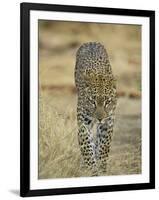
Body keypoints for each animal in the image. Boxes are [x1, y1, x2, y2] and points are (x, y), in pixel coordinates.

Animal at [74, 41, 117, 175]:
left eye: (107, 102)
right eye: (92, 101)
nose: (99, 118)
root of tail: (91, 42)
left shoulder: (108, 122)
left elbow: (104, 147)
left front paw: (102, 168)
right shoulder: (83, 122)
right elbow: (86, 145)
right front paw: (92, 169)